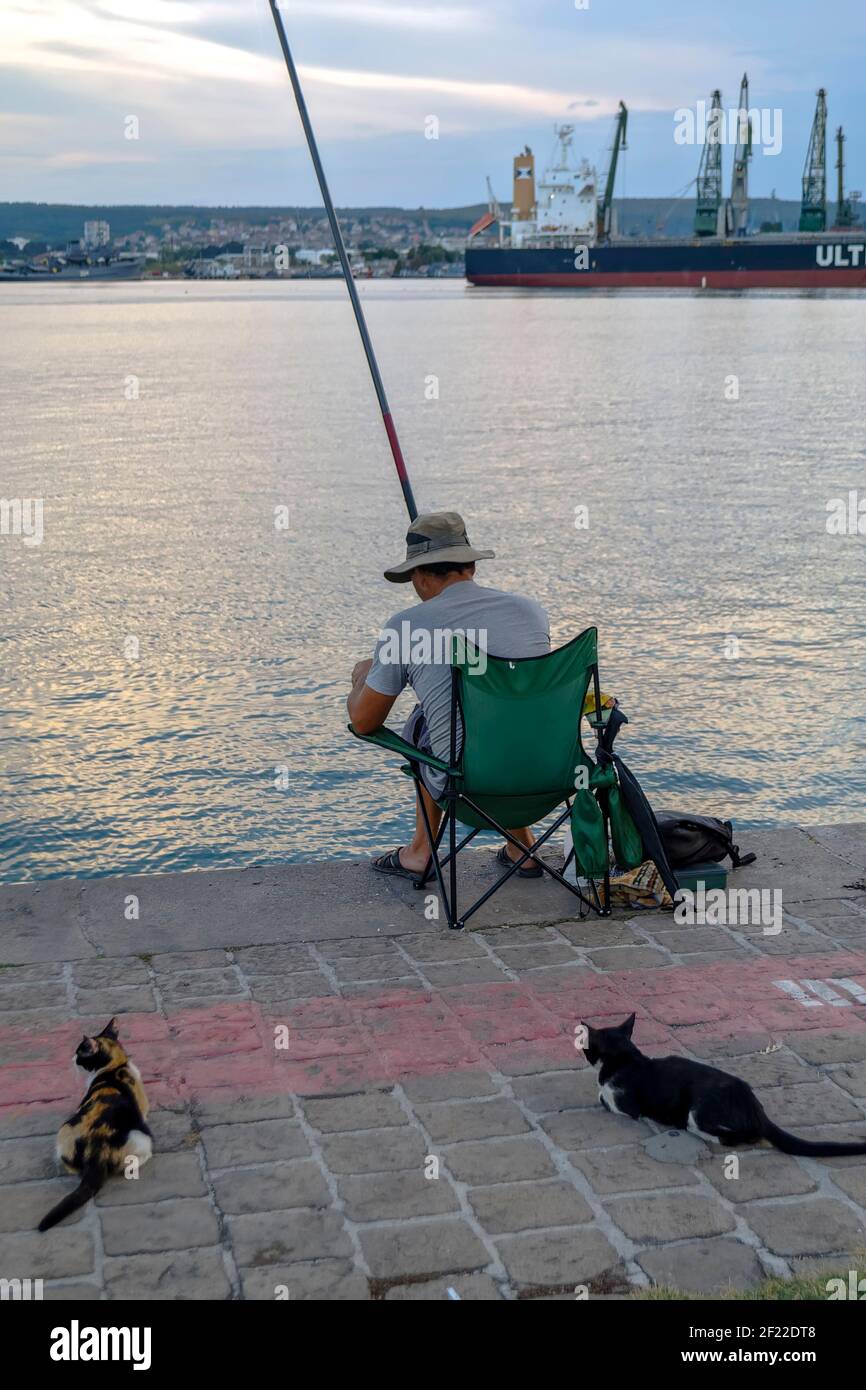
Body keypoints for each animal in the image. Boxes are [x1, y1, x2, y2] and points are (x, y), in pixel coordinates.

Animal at [38, 1017, 152, 1234]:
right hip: (141, 1135)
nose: (72, 1058)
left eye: (79, 1053)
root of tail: (96, 1149)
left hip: (67, 1129)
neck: (115, 1066)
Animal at [578, 1017, 866, 1156]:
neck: (627, 1058)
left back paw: (694, 1131)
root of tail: (758, 1112)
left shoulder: (624, 1103)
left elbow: (602, 1097)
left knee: (734, 1138)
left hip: (699, 1110)